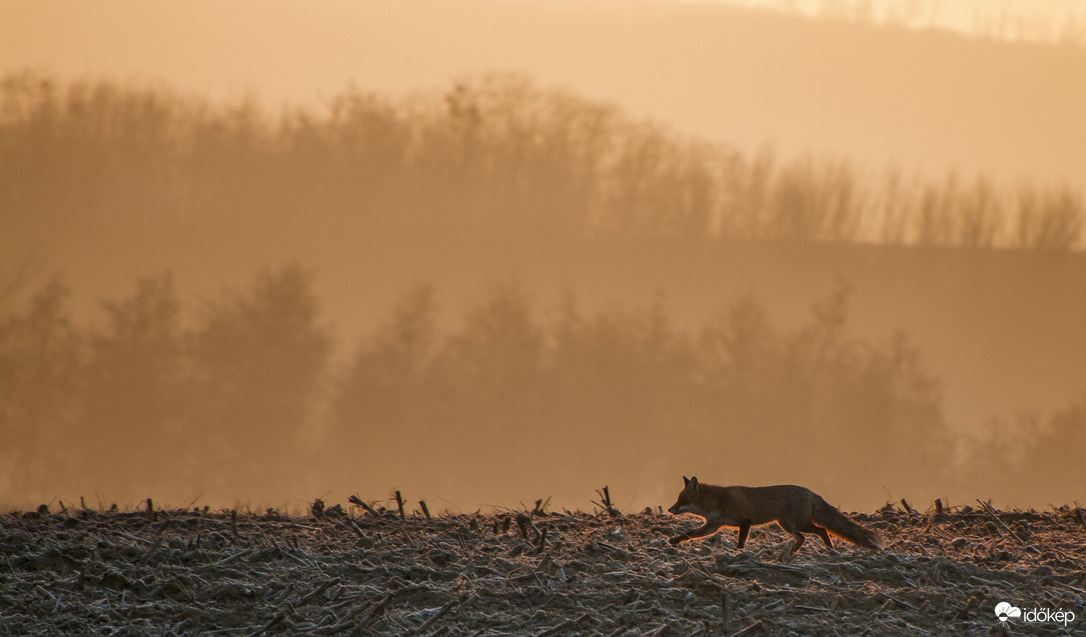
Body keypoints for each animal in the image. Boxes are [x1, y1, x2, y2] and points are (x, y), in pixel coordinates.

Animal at [660, 477, 881, 553]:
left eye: (681, 501)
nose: (670, 510)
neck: (719, 501)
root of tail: (810, 492)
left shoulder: (745, 522)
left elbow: (741, 542)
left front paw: (739, 554)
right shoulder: (713, 525)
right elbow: (690, 534)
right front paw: (675, 540)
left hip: (796, 523)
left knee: (822, 530)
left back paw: (829, 549)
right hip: (787, 525)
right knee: (802, 538)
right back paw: (791, 554)